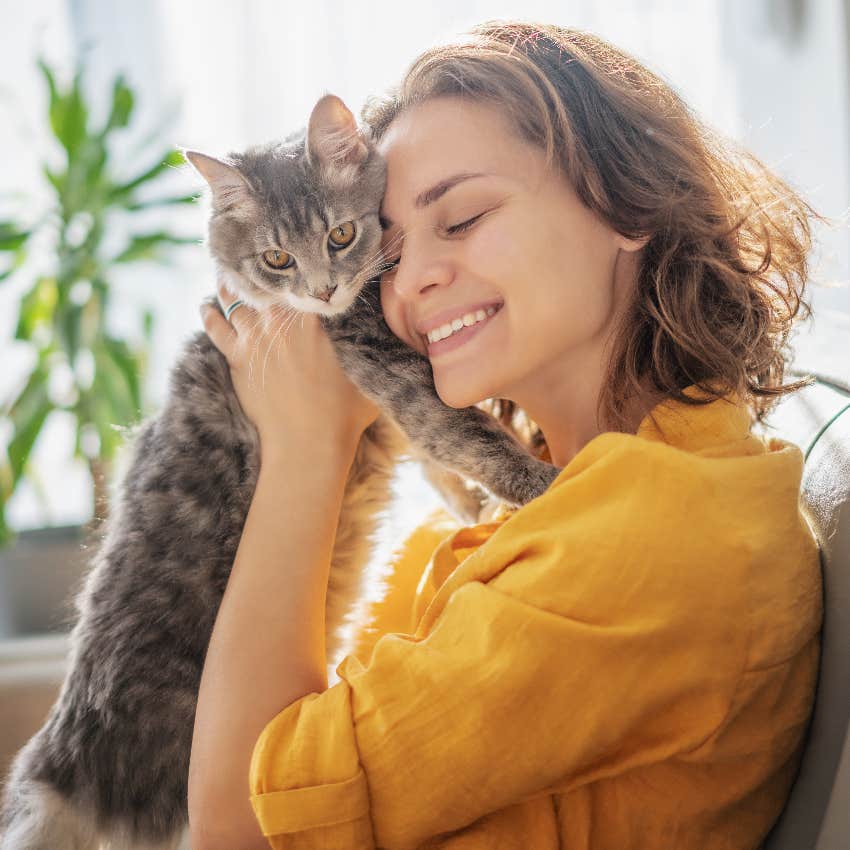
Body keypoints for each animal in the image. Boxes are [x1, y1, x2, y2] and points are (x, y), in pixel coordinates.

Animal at [0, 94, 556, 848]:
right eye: (276, 258)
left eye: (342, 235)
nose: (324, 291)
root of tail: (62, 765)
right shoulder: (385, 362)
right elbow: (463, 432)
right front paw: (539, 482)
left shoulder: (387, 385)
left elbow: (436, 451)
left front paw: (470, 505)